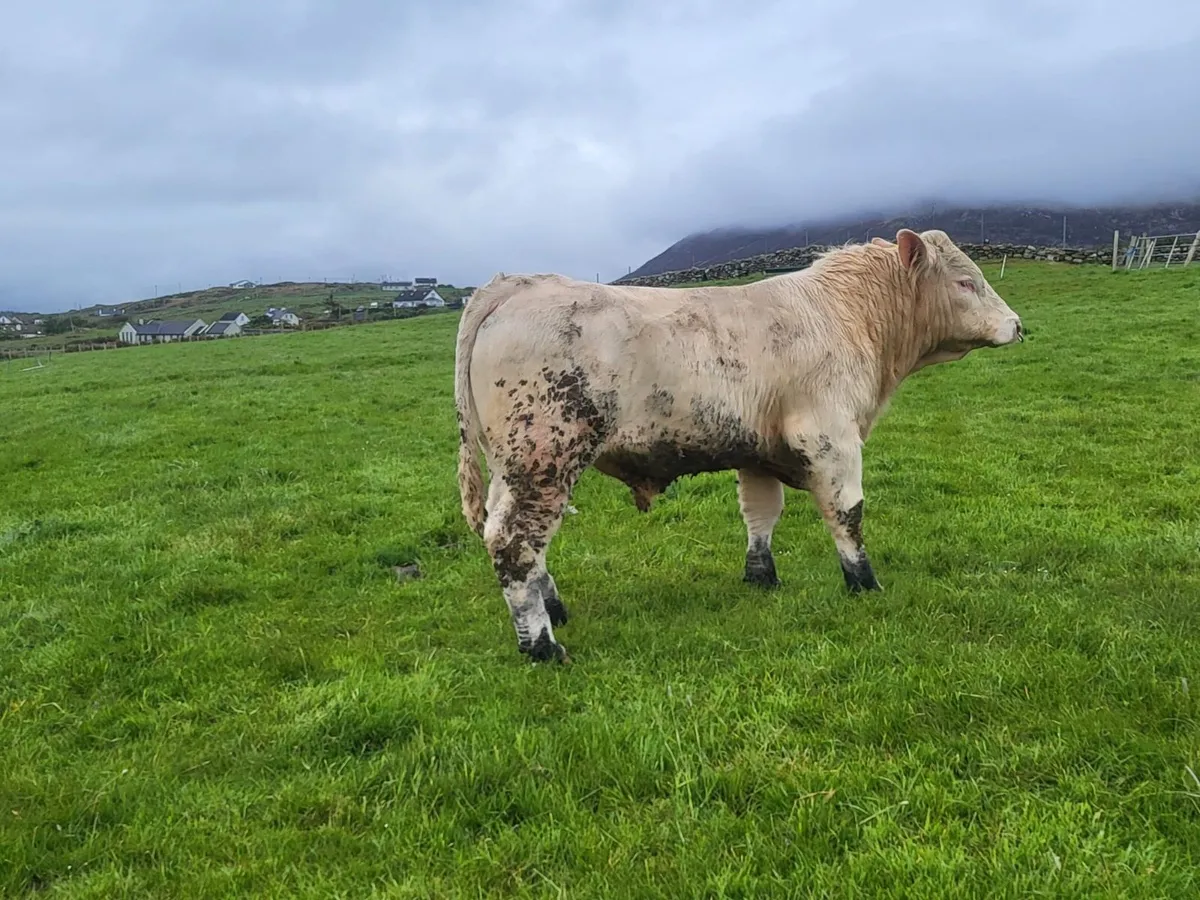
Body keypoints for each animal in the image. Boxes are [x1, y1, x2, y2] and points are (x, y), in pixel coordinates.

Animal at [454, 228, 1023, 663]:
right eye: (966, 281)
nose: (1018, 325)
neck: (848, 318)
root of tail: (516, 284)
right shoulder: (831, 437)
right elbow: (848, 513)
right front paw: (863, 583)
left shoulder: (759, 452)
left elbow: (761, 514)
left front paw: (761, 577)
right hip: (545, 453)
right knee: (514, 541)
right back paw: (543, 645)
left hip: (514, 464)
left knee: (519, 537)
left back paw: (554, 610)